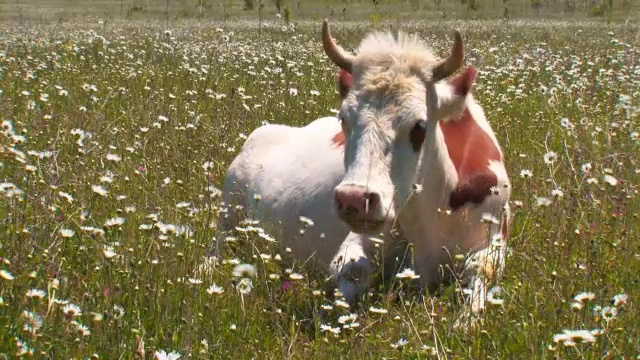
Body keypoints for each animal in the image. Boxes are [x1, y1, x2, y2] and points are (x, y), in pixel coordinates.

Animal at [205, 21, 510, 320]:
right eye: (343, 118)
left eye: (420, 126)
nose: (354, 199)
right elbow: (350, 272)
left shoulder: (494, 238)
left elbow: (480, 274)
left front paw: (466, 321)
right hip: (228, 214)